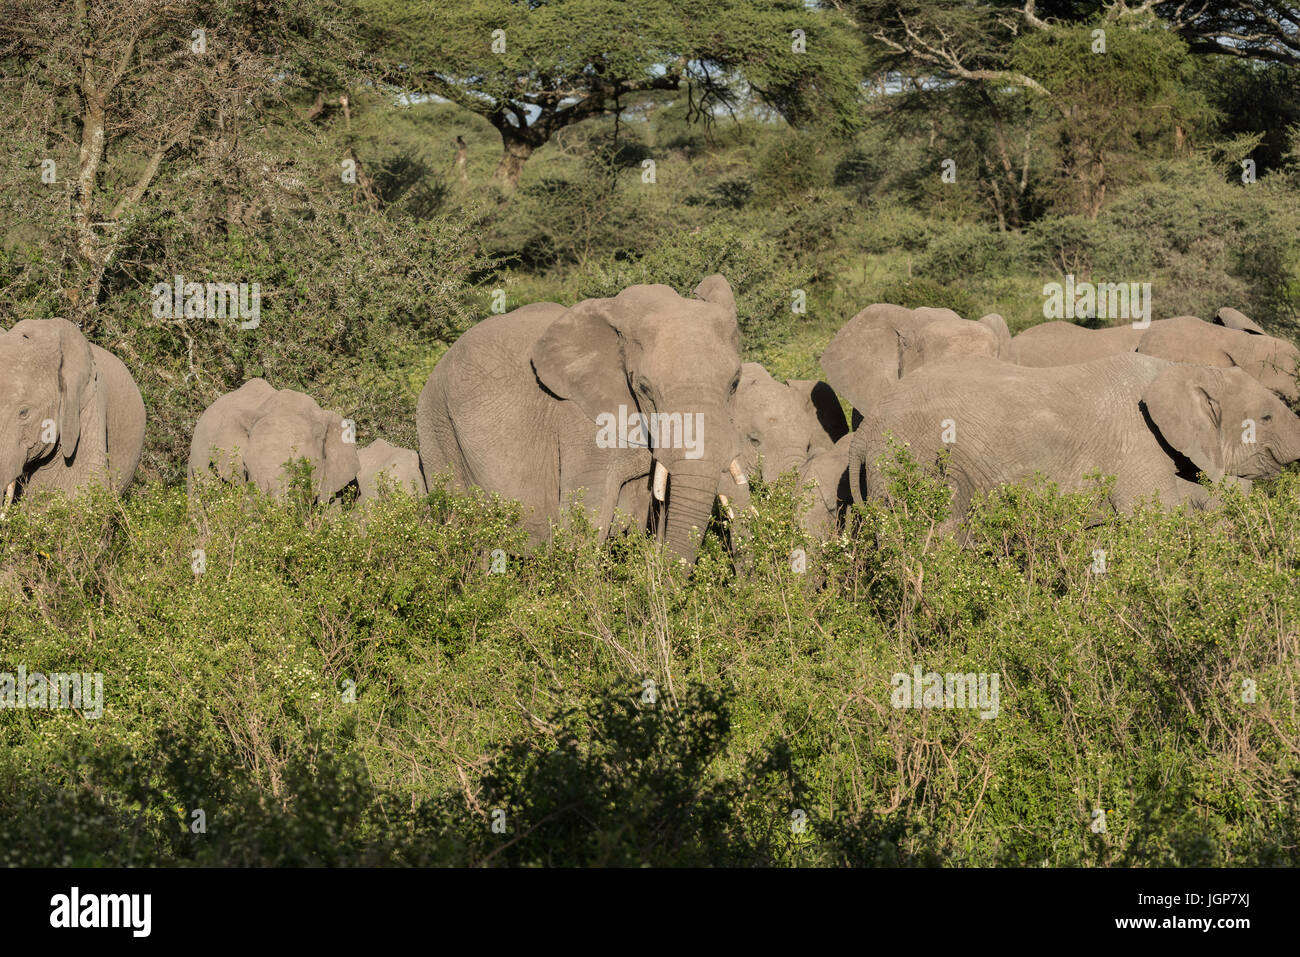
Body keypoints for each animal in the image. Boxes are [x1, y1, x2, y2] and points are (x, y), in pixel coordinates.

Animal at [847, 353, 1300, 530]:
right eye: (1266, 417)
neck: (1180, 369)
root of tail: (865, 431)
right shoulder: (1136, 443)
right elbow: (1154, 521)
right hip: (911, 461)